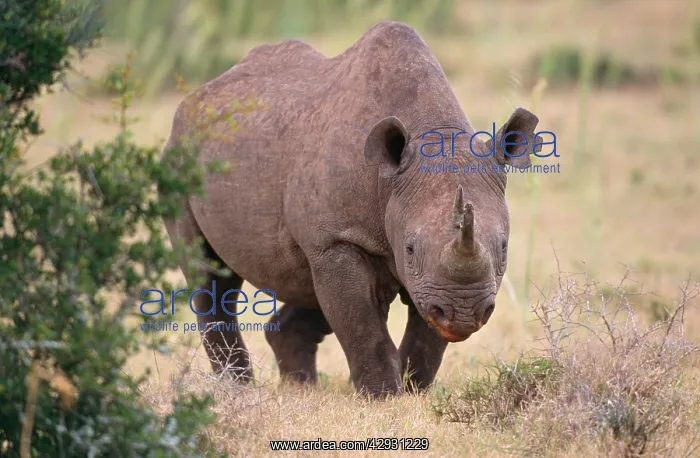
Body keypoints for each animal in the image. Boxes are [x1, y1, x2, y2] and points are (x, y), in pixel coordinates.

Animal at [163, 21, 541, 397]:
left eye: (504, 248)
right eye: (410, 248)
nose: (463, 313)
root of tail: (196, 97)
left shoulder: (429, 277)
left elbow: (426, 335)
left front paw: (414, 392)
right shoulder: (338, 239)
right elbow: (361, 322)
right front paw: (383, 397)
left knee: (304, 279)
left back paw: (300, 388)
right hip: (179, 156)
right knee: (208, 272)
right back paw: (237, 389)